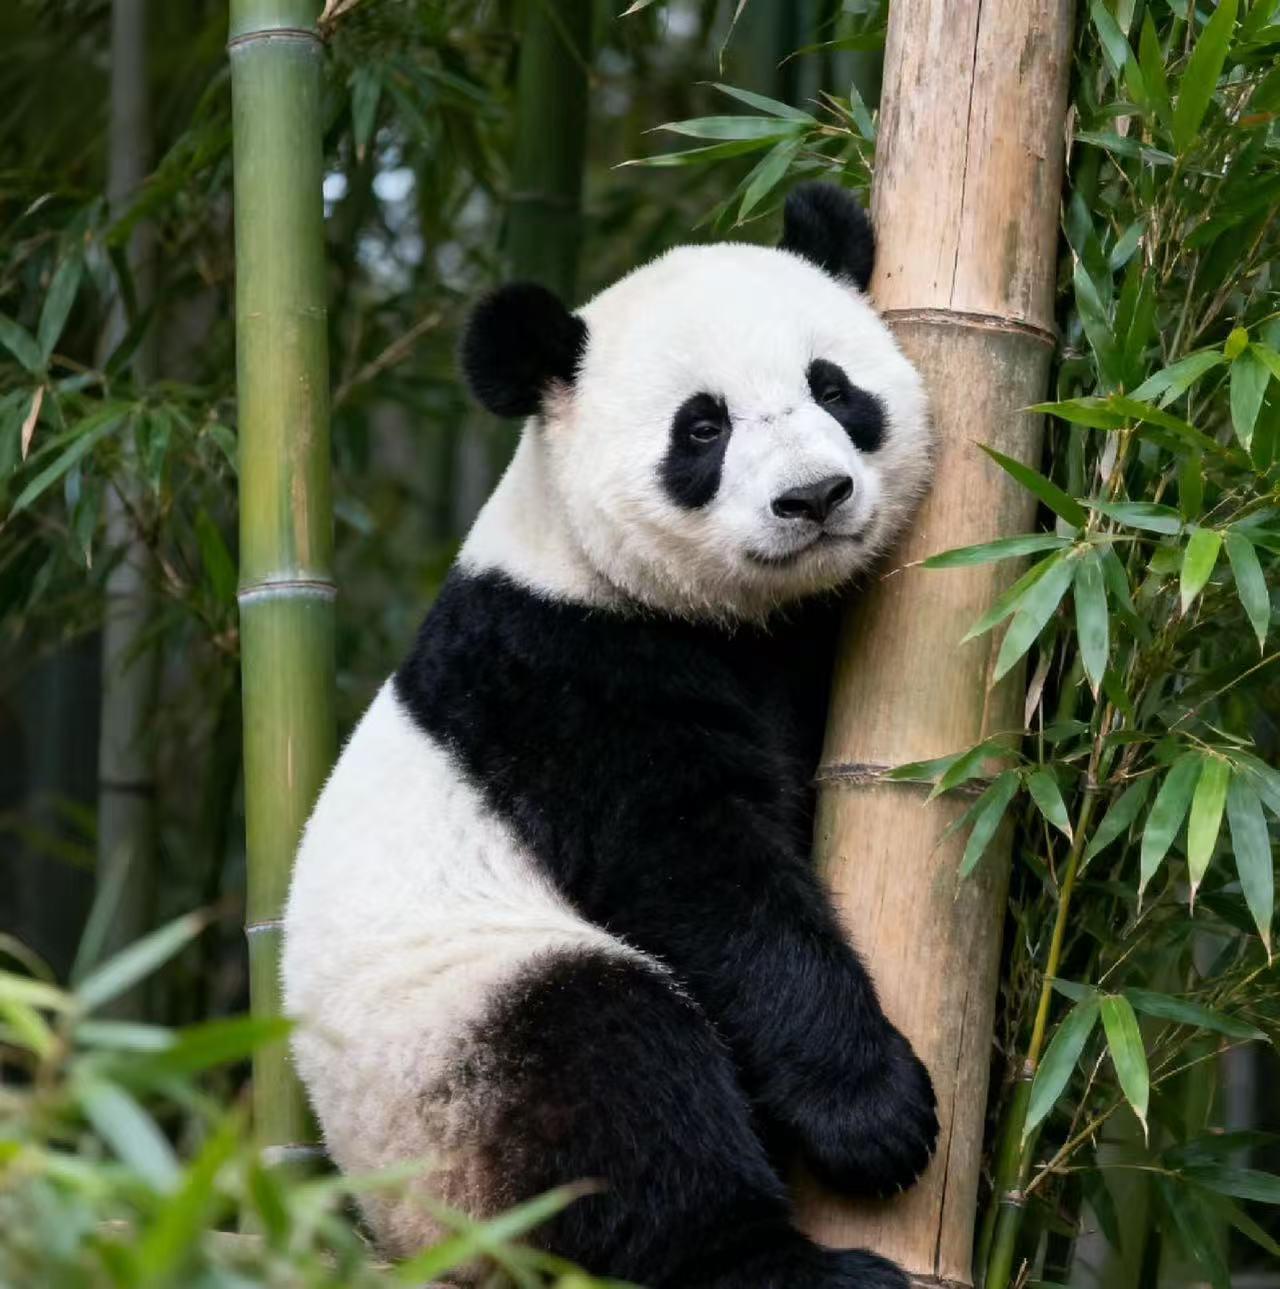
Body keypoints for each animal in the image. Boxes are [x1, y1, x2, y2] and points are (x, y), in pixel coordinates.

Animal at [282, 181, 938, 1288]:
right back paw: (777, 1262)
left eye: (832, 385)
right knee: (612, 1082)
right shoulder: (563, 674)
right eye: (702, 427)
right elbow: (699, 876)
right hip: (451, 1061)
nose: (813, 497)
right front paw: (874, 1113)